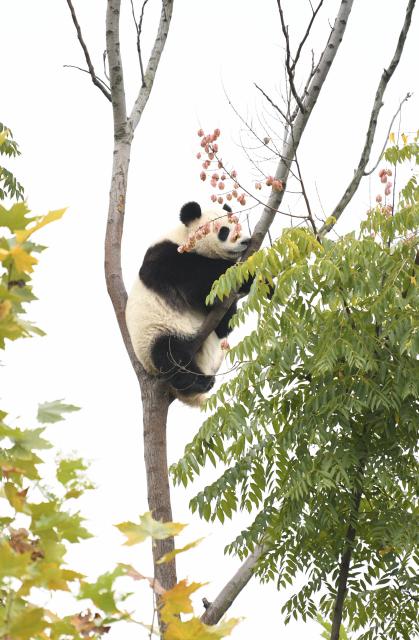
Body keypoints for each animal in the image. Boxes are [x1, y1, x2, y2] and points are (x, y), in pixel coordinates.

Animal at [125, 201, 252, 406]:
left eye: (238, 224)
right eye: (224, 230)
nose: (245, 241)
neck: (184, 238)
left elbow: (223, 326)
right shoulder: (166, 259)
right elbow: (197, 284)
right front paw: (239, 271)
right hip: (154, 333)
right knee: (169, 355)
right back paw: (199, 382)